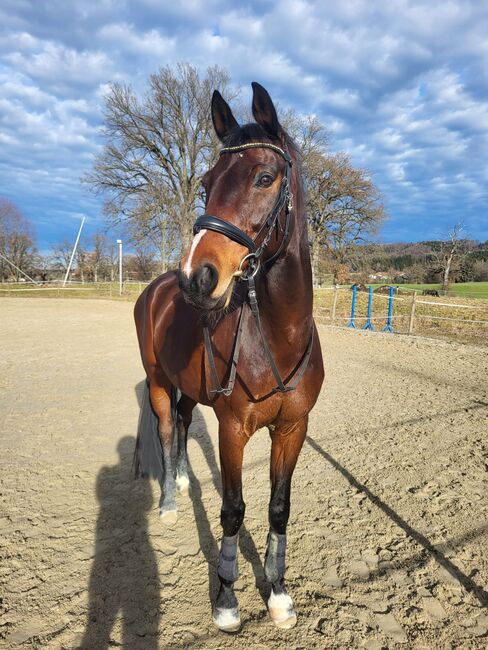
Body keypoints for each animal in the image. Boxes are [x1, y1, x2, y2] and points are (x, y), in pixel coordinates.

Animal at [133, 83, 324, 632]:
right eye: (206, 183)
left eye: (264, 177)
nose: (196, 277)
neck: (276, 337)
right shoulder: (232, 429)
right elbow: (233, 509)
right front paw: (225, 600)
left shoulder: (292, 428)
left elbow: (278, 508)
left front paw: (278, 595)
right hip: (157, 381)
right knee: (165, 428)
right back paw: (169, 502)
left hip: (189, 390)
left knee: (180, 422)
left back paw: (179, 480)